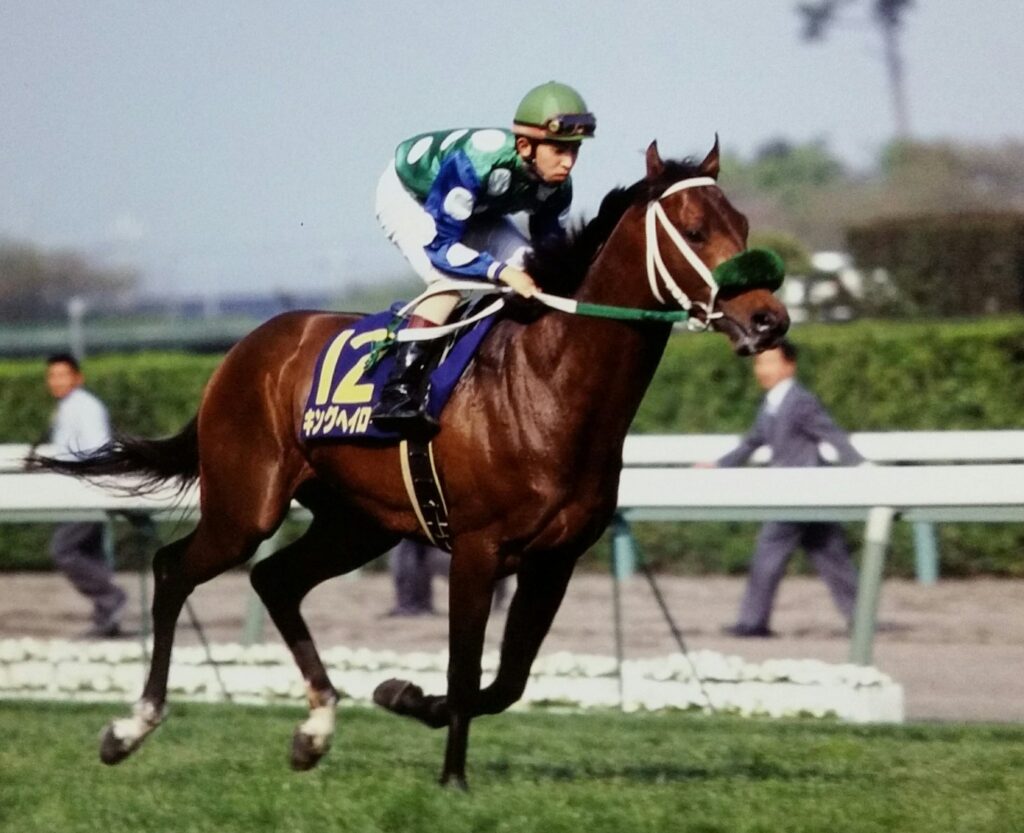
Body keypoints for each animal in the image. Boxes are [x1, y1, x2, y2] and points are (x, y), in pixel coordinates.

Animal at [38, 140, 788, 789]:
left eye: (744, 224)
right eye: (694, 229)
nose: (769, 320)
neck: (547, 382)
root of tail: (242, 351)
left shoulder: (556, 559)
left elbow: (505, 681)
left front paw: (403, 695)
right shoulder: (479, 550)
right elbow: (465, 668)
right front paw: (452, 777)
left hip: (357, 523)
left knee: (276, 580)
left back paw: (315, 728)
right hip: (246, 505)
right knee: (173, 570)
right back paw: (130, 727)